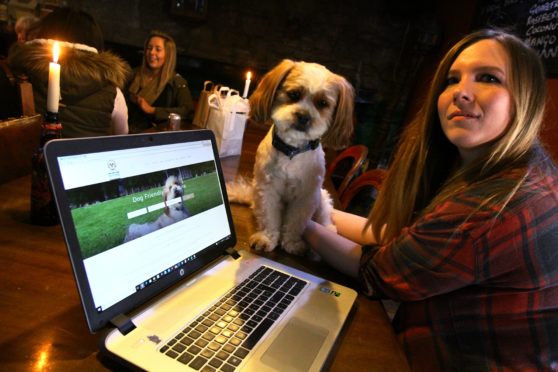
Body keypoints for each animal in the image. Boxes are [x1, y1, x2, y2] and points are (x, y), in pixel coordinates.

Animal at [226, 59, 354, 256]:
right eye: (294, 94)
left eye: (323, 103)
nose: (304, 116)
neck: (292, 151)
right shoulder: (267, 189)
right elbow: (269, 217)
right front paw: (267, 238)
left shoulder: (306, 196)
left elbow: (296, 221)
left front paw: (292, 243)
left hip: (322, 199)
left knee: (325, 217)